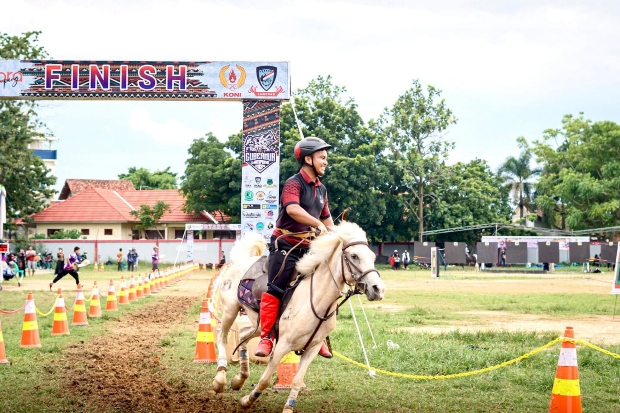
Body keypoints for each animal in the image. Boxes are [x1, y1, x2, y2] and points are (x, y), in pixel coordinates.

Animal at [214, 222, 388, 412]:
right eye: (354, 256)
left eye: (372, 256)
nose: (378, 289)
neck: (315, 300)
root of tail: (241, 262)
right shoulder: (282, 345)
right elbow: (265, 380)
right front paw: (248, 400)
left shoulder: (312, 348)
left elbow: (297, 381)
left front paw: (288, 407)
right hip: (230, 310)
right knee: (222, 336)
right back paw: (220, 379)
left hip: (258, 325)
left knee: (244, 334)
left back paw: (239, 379)